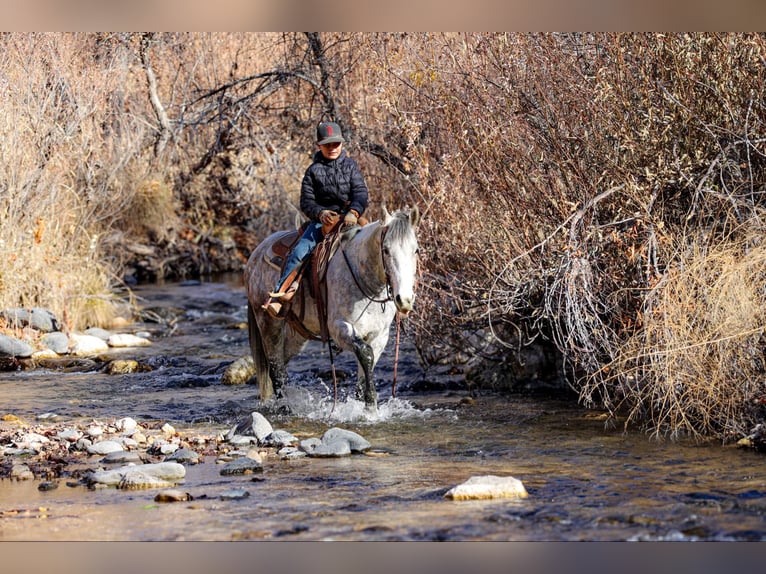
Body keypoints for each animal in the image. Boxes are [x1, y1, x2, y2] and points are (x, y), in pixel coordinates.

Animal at [244, 207, 420, 414]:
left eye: (416, 250)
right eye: (385, 250)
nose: (405, 300)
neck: (365, 280)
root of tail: (255, 255)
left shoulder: (379, 336)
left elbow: (366, 367)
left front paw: (364, 405)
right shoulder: (340, 328)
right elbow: (366, 354)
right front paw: (371, 404)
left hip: (297, 335)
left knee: (280, 363)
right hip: (268, 323)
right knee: (275, 368)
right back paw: (285, 408)